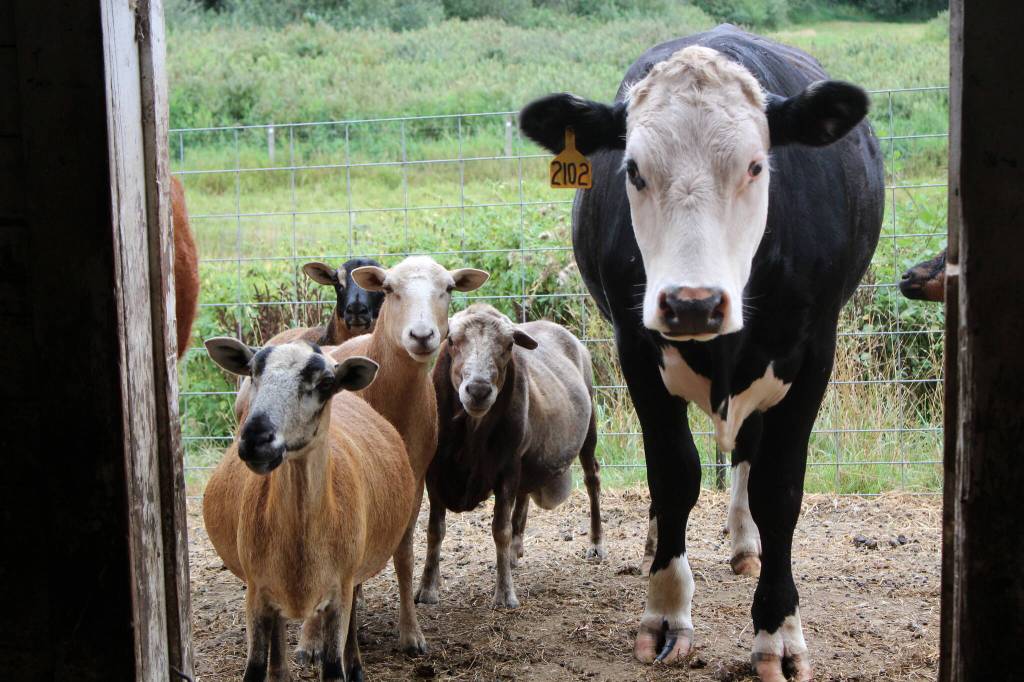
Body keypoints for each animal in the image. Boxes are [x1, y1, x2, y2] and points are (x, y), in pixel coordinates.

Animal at [203, 337, 416, 682]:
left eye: (326, 383)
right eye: (252, 371)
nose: (256, 439)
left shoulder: (338, 591)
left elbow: (333, 667)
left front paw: (347, 667)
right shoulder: (257, 592)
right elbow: (255, 667)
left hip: (352, 575)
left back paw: (356, 666)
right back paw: (280, 673)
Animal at [415, 304, 604, 609]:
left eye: (508, 345)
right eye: (452, 341)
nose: (478, 390)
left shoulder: (507, 467)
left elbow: (499, 530)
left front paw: (504, 594)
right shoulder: (435, 472)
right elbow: (435, 530)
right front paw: (427, 588)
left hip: (588, 429)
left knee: (592, 479)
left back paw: (596, 543)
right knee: (525, 494)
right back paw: (515, 552)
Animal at [519, 24, 884, 681]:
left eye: (756, 165)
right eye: (634, 169)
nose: (694, 303)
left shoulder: (814, 353)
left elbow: (778, 489)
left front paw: (777, 631)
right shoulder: (636, 349)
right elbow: (674, 473)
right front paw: (666, 613)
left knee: (747, 452)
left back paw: (745, 543)